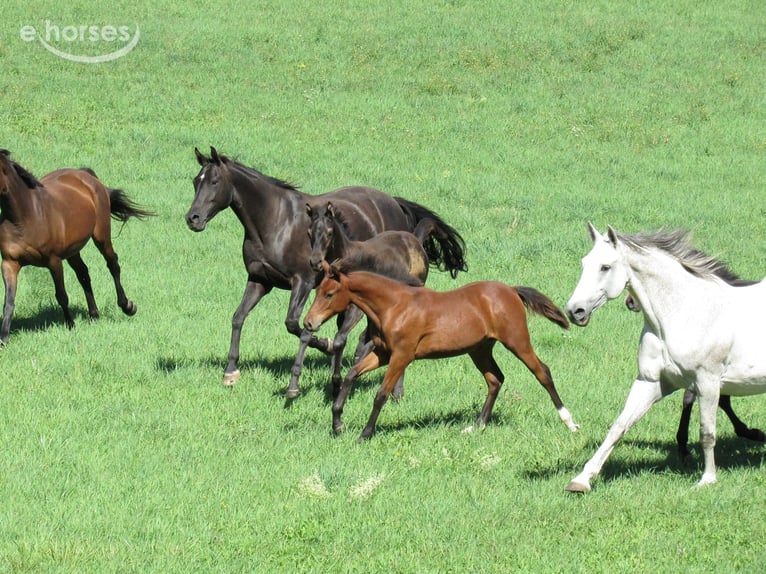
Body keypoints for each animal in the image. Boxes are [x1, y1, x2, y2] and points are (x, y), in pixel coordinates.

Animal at [0, 150, 152, 344]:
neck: (25, 216)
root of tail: (85, 175)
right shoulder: (10, 263)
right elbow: (9, 301)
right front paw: (4, 338)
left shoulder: (54, 261)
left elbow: (61, 295)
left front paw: (70, 325)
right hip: (73, 251)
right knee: (84, 274)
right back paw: (94, 315)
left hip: (101, 237)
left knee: (113, 264)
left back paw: (127, 306)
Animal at [302, 201, 443, 397]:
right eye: (309, 233)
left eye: (329, 232)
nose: (315, 262)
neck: (348, 259)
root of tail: (414, 238)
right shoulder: (338, 308)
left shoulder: (355, 308)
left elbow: (340, 339)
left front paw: (337, 383)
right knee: (366, 338)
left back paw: (397, 391)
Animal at [304, 260, 580, 442]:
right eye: (317, 291)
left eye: (330, 294)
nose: (309, 323)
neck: (393, 306)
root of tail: (511, 290)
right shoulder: (382, 355)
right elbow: (351, 375)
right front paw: (337, 423)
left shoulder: (402, 356)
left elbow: (381, 394)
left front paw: (365, 434)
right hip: (479, 349)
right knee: (495, 379)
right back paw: (477, 426)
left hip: (517, 341)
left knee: (542, 372)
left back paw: (569, 422)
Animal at [564, 223, 766, 492]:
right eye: (584, 263)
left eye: (605, 267)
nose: (574, 311)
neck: (682, 313)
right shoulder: (652, 383)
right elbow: (619, 426)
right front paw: (582, 479)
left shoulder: (708, 383)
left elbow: (706, 432)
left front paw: (707, 479)